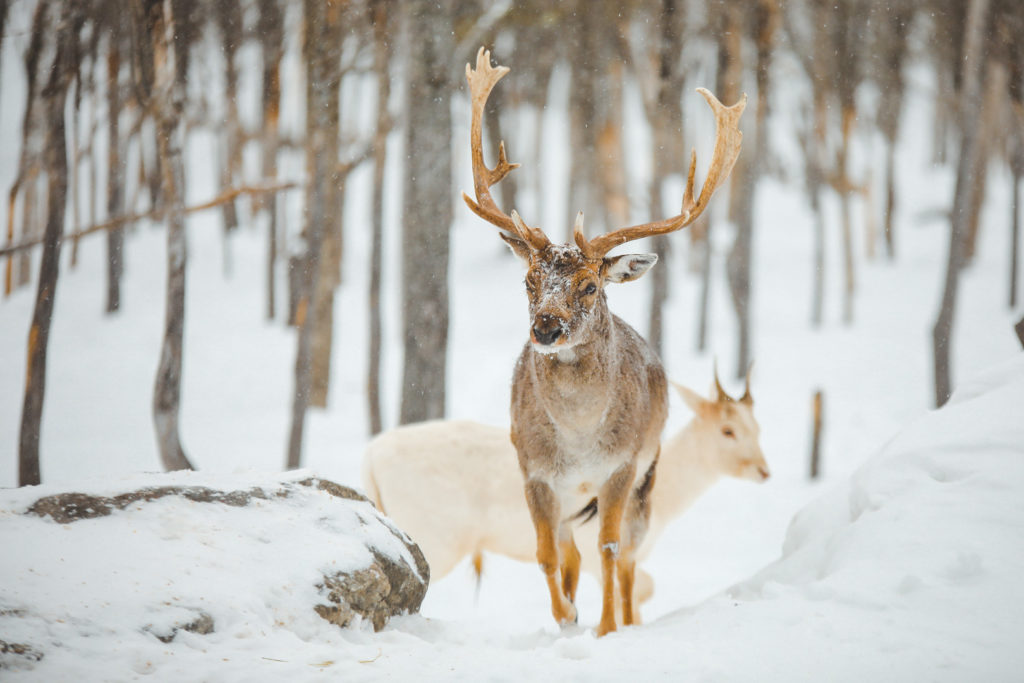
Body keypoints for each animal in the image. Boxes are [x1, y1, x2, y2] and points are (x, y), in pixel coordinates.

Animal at [361, 368, 769, 624]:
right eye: (727, 430)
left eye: (757, 425)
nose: (764, 470)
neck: (666, 500)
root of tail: (371, 455)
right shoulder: (595, 548)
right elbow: (639, 587)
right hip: (435, 533)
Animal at [461, 47, 744, 635]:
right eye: (529, 279)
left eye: (590, 285)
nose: (546, 327)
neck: (578, 438)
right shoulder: (534, 471)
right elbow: (548, 556)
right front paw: (567, 617)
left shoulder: (622, 465)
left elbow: (611, 549)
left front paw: (609, 628)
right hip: (574, 497)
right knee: (571, 550)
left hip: (646, 477)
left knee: (630, 551)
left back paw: (629, 618)